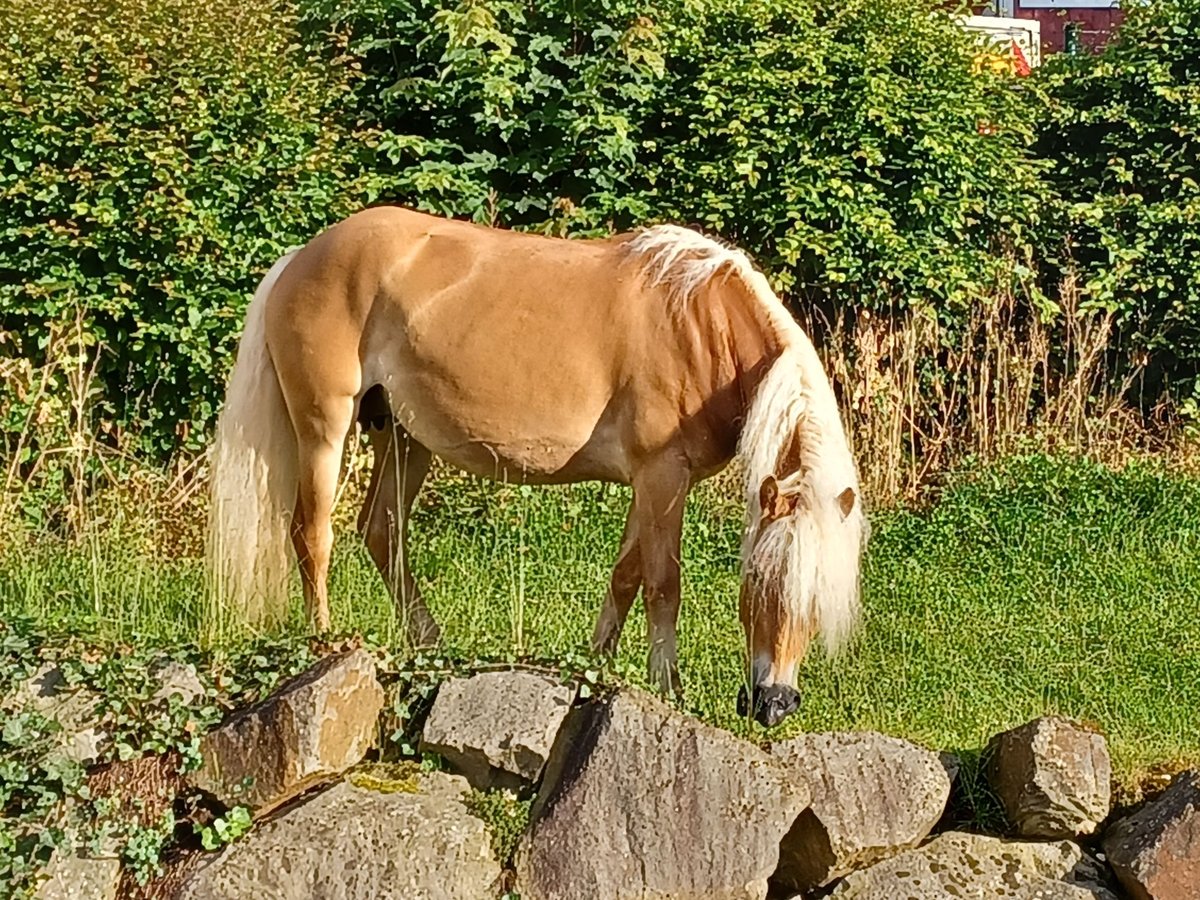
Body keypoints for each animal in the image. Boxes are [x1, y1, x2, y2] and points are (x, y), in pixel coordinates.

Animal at [206, 204, 864, 724]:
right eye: (760, 581)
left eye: (819, 596)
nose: (773, 704)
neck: (702, 326)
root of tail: (302, 255)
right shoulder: (662, 477)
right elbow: (662, 583)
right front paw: (667, 689)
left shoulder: (648, 484)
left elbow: (625, 578)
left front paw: (595, 669)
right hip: (325, 426)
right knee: (312, 533)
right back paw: (325, 643)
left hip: (403, 439)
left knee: (382, 531)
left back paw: (430, 648)